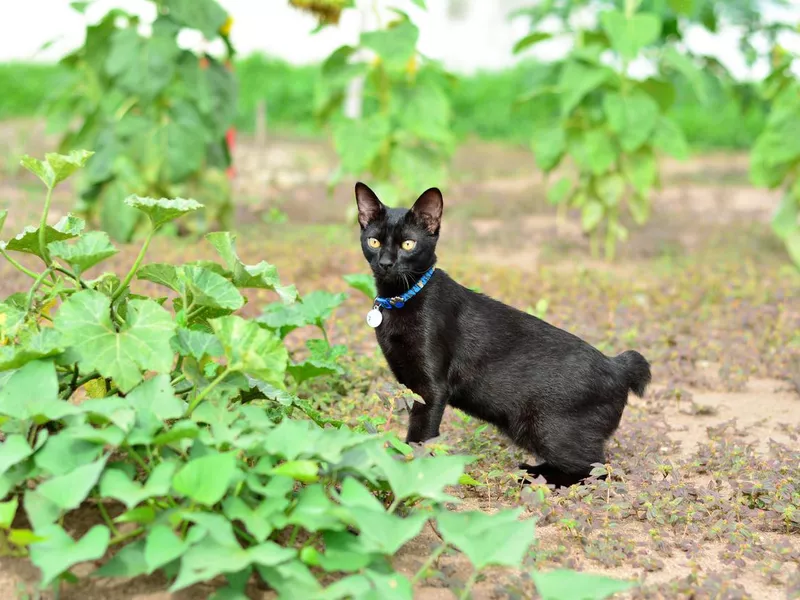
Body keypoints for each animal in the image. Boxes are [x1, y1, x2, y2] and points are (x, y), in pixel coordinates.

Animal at [356, 183, 648, 488]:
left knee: (597, 469)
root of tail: (618, 366)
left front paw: (410, 474)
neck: (399, 299)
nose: (386, 263)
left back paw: (532, 474)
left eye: (408, 244)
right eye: (374, 242)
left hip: (545, 428)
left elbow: (420, 438)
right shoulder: (408, 383)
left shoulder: (431, 388)